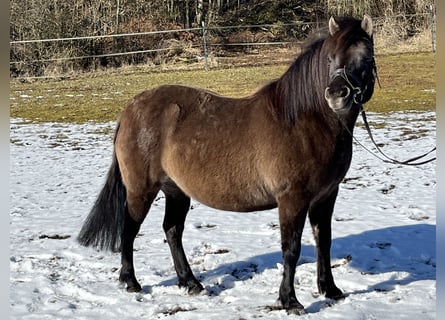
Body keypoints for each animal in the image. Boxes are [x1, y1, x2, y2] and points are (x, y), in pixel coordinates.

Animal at [78, 16, 376, 314]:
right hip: (141, 190)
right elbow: (291, 249)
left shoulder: (326, 196)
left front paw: (330, 290)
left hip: (176, 191)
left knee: (172, 230)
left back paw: (191, 283)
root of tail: (130, 110)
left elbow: (323, 240)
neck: (305, 122)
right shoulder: (292, 199)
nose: (337, 95)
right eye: (329, 59)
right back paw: (131, 281)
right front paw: (290, 301)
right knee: (129, 229)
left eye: (366, 58)